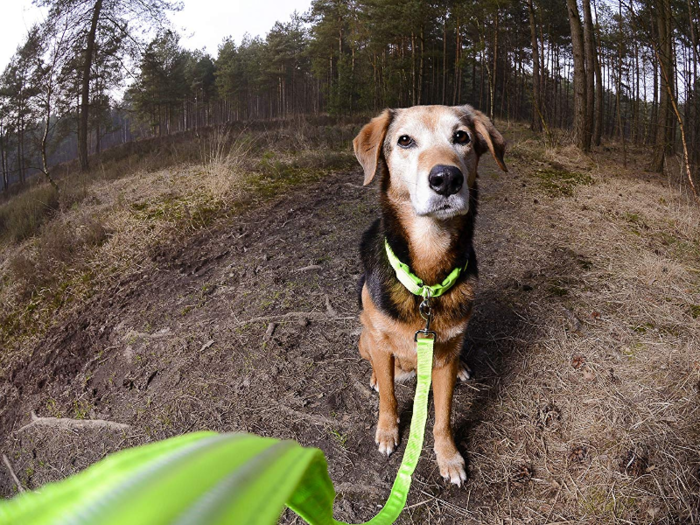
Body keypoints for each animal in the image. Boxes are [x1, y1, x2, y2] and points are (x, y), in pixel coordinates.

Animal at [352, 104, 506, 486]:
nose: (447, 178)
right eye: (405, 140)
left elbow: (443, 415)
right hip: (364, 336)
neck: (426, 276)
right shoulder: (380, 342)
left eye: (461, 137)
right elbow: (389, 397)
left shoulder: (443, 353)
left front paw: (447, 456)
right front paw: (387, 430)